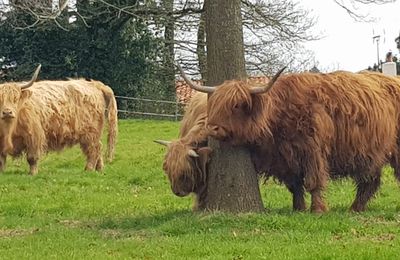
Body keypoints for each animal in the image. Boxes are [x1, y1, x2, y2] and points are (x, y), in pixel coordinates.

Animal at [182, 65, 400, 213]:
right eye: (214, 104)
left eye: (236, 105)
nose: (212, 127)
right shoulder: (286, 157)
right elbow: (294, 184)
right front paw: (298, 208)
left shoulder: (313, 150)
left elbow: (313, 181)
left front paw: (317, 209)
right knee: (370, 181)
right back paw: (355, 208)